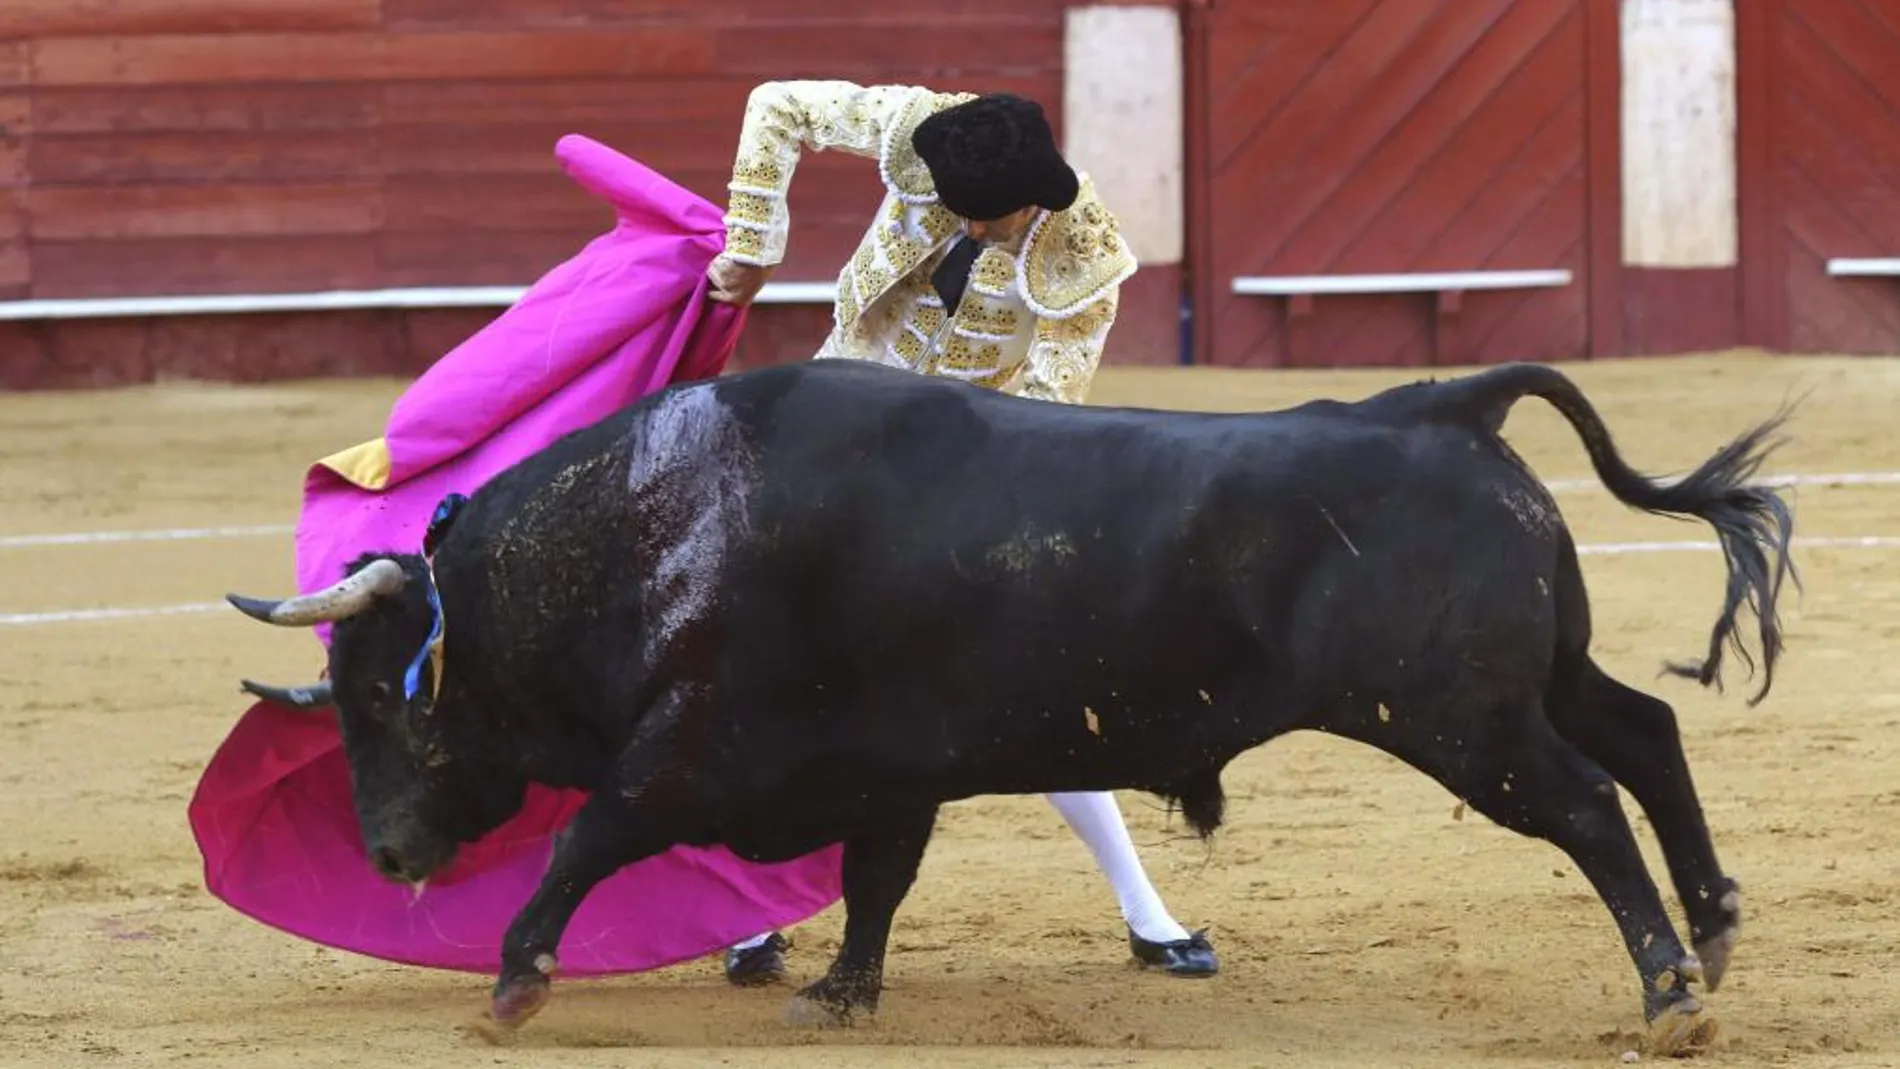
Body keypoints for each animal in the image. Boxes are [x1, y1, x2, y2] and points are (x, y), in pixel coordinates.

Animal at [222, 358, 1793, 1055]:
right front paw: (843, 995)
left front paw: (513, 981)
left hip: (1459, 717)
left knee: (1585, 801)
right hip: (1529, 682)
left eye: (377, 696)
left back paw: (1667, 992)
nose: (386, 853)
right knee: (1645, 734)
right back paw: (1713, 931)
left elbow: (587, 836)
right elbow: (875, 880)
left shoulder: (688, 753)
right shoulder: (889, 768)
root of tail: (1440, 403)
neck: (660, 520)